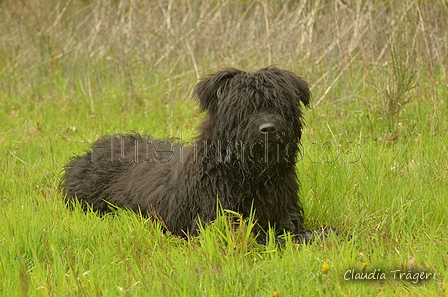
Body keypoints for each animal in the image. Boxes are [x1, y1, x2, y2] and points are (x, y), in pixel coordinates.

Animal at [61, 66, 328, 243]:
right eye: (243, 107)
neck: (249, 175)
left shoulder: (285, 214)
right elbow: (267, 238)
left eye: (278, 104)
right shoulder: (219, 224)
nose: (268, 128)